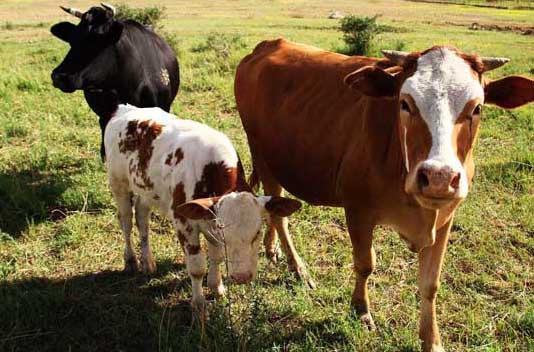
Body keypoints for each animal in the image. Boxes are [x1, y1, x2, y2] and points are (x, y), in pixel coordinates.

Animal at [103, 104, 302, 308]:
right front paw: (199, 304)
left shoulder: (209, 219)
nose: (242, 277)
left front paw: (217, 287)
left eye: (257, 233)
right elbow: (197, 267)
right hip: (118, 183)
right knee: (126, 220)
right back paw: (131, 260)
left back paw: (147, 261)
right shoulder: (184, 222)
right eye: (225, 234)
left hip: (146, 191)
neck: (210, 170)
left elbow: (217, 256)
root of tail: (125, 109)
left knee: (142, 218)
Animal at [236, 39, 534, 352]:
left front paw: (432, 340)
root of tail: (267, 45)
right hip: (262, 156)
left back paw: (272, 249)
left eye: (477, 108)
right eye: (404, 103)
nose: (438, 178)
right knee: (280, 217)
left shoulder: (445, 218)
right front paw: (361, 311)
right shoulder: (358, 211)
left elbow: (430, 284)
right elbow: (365, 264)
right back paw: (299, 269)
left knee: (274, 208)